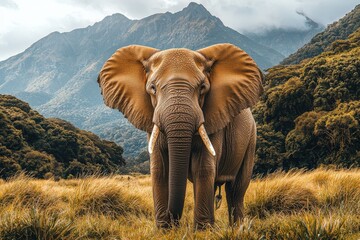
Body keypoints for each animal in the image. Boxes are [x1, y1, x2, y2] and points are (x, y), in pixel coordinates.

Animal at [97, 43, 262, 229]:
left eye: (202, 88)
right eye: (152, 88)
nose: (174, 220)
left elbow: (203, 168)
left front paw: (202, 231)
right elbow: (160, 169)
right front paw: (165, 230)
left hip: (251, 137)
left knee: (236, 189)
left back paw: (238, 229)